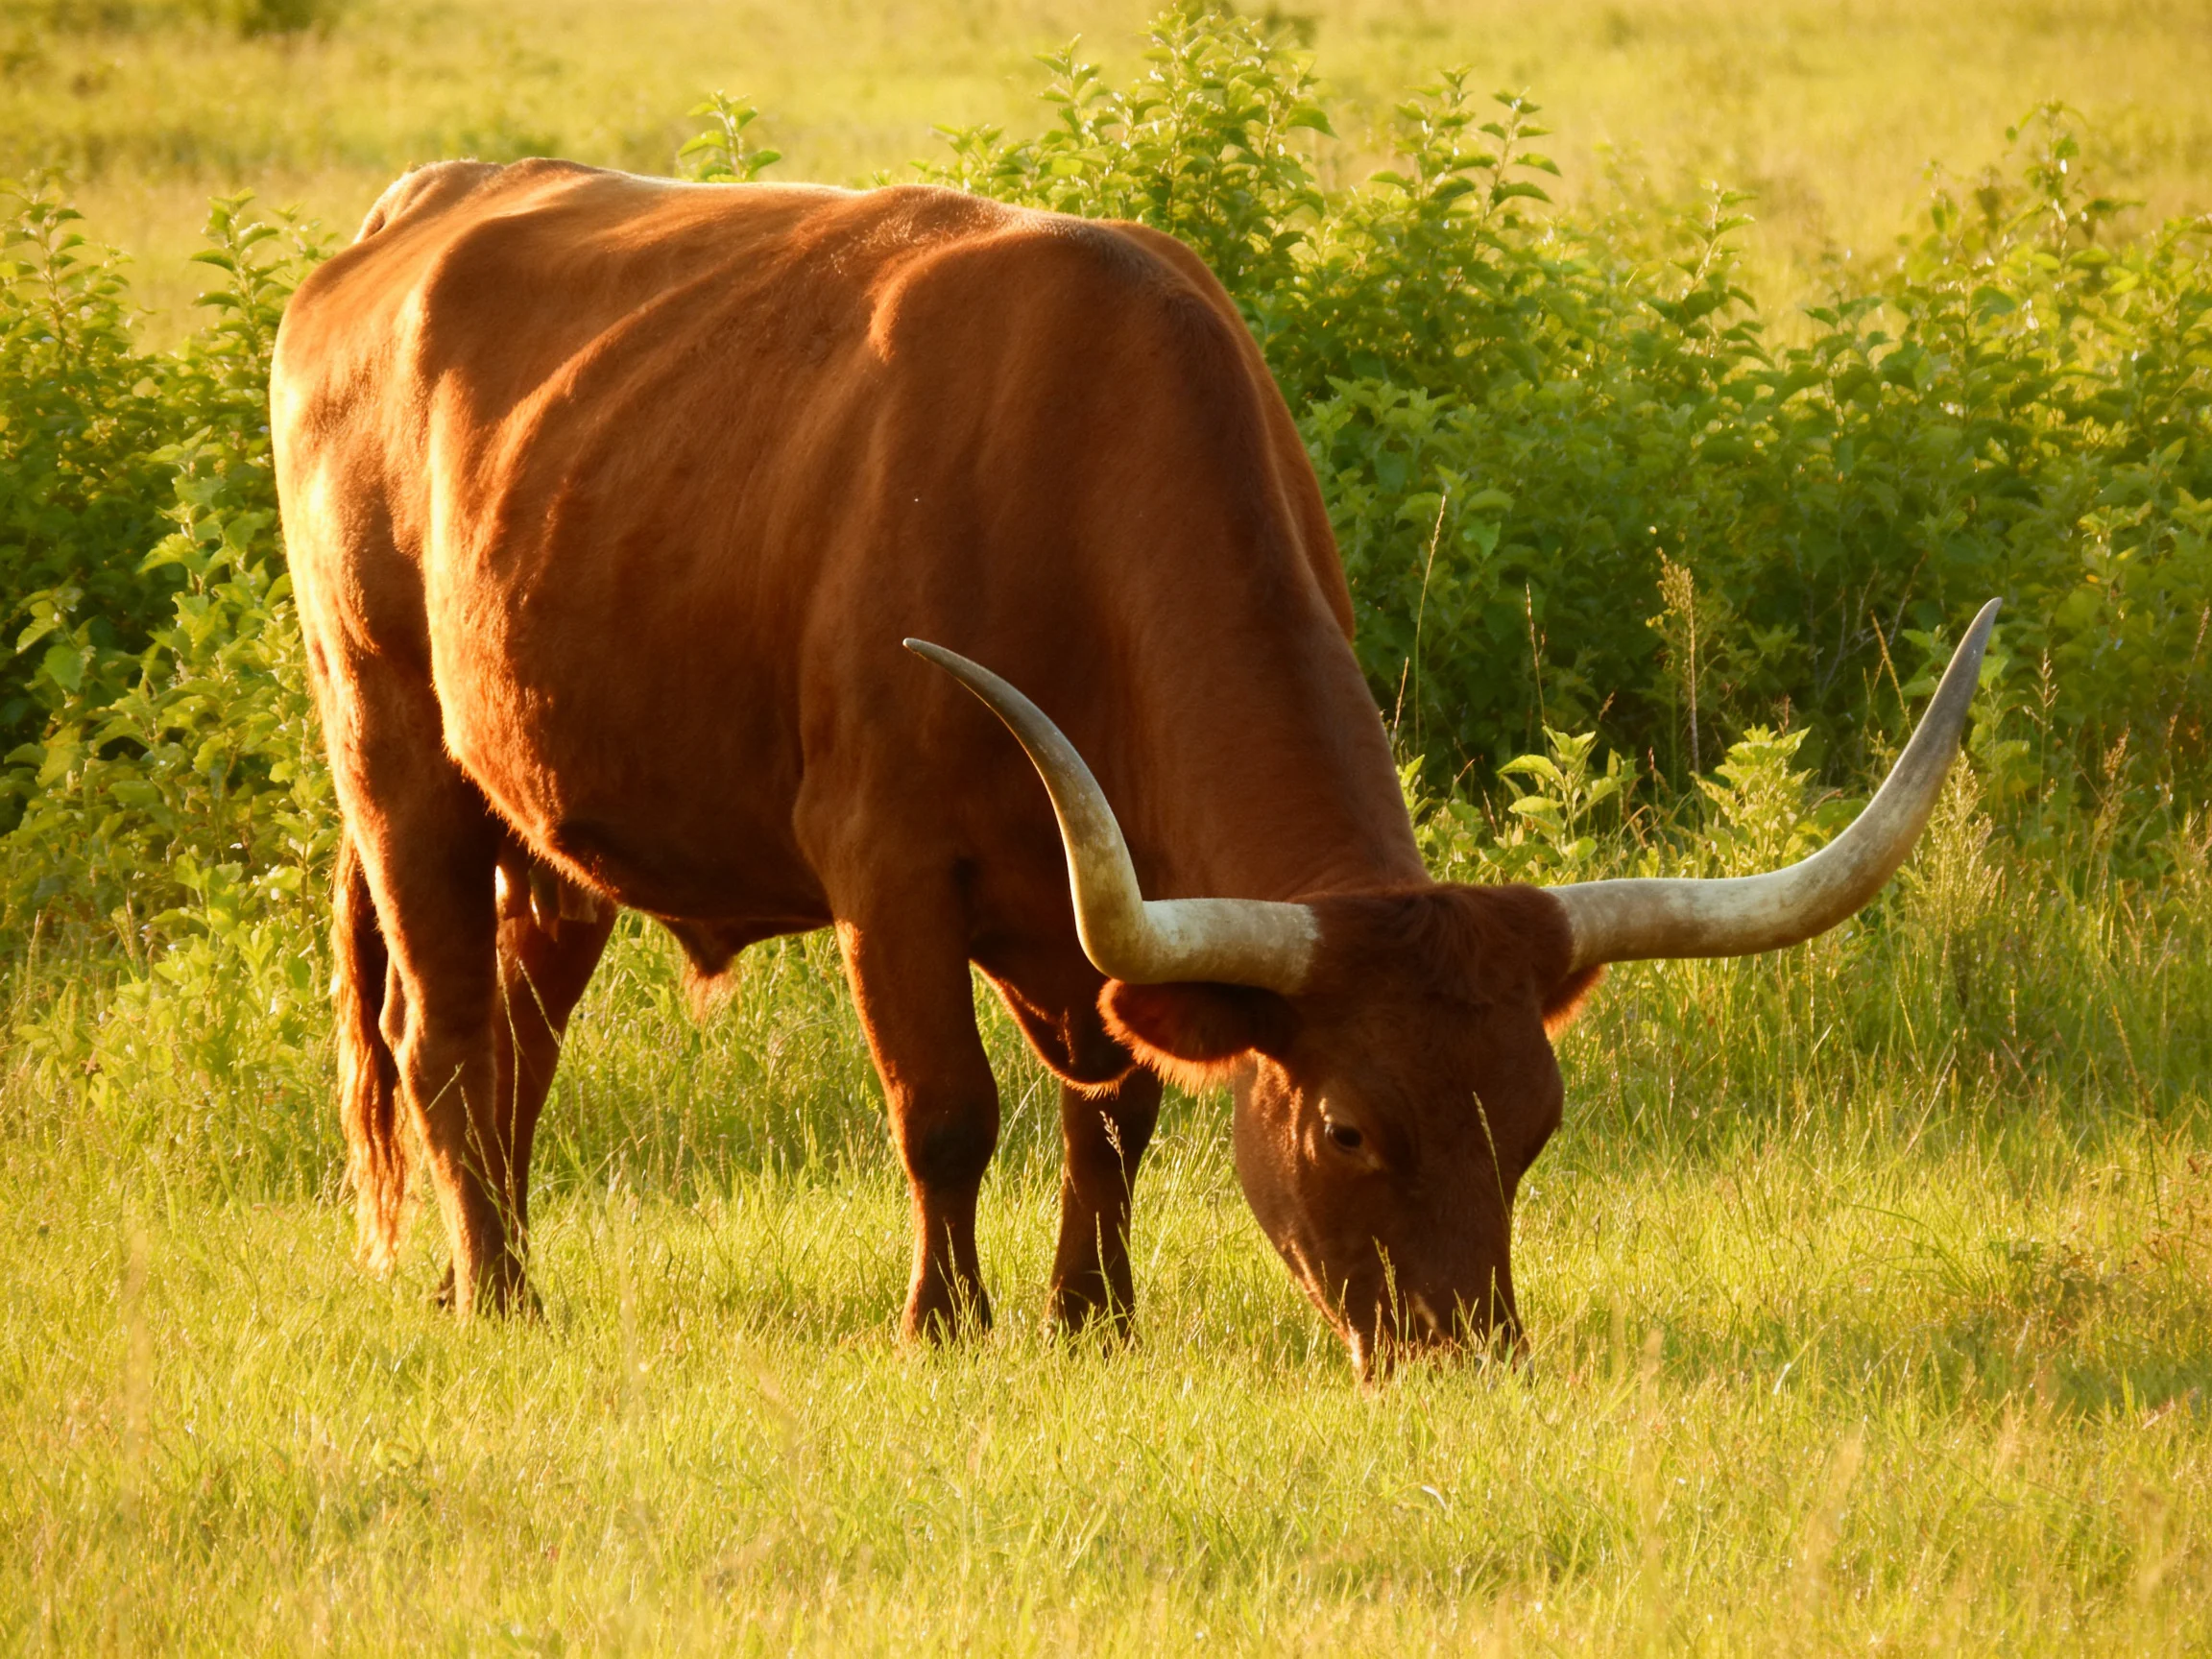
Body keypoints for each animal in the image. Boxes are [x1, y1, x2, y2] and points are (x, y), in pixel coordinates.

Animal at [271, 157, 1996, 1376]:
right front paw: (946, 1324)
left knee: (517, 1042)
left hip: (548, 819)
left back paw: (467, 1272)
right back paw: (505, 1297)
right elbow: (946, 1108)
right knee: (437, 1035)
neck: (1073, 485)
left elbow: (1115, 1111)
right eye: (1346, 1129)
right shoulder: (885, 866)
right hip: (392, 750)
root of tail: (406, 216)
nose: (1464, 1356)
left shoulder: (1098, 907)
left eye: (1534, 1121)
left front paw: (1089, 1316)